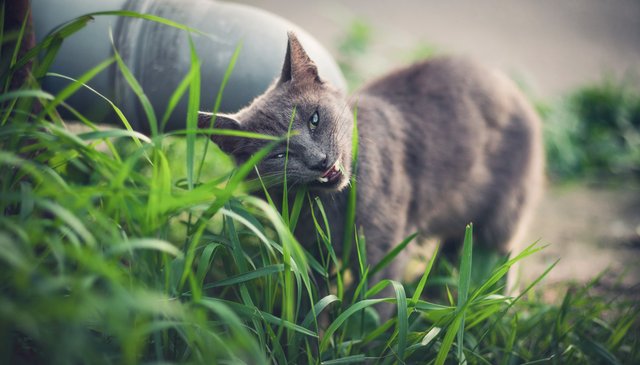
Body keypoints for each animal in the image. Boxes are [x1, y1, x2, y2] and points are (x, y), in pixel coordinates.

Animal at [198, 32, 544, 302]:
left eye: (314, 119)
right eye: (278, 155)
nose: (319, 160)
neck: (327, 207)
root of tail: (507, 82)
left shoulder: (384, 249)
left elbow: (374, 305)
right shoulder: (309, 252)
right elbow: (314, 306)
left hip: (504, 214)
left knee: (500, 257)